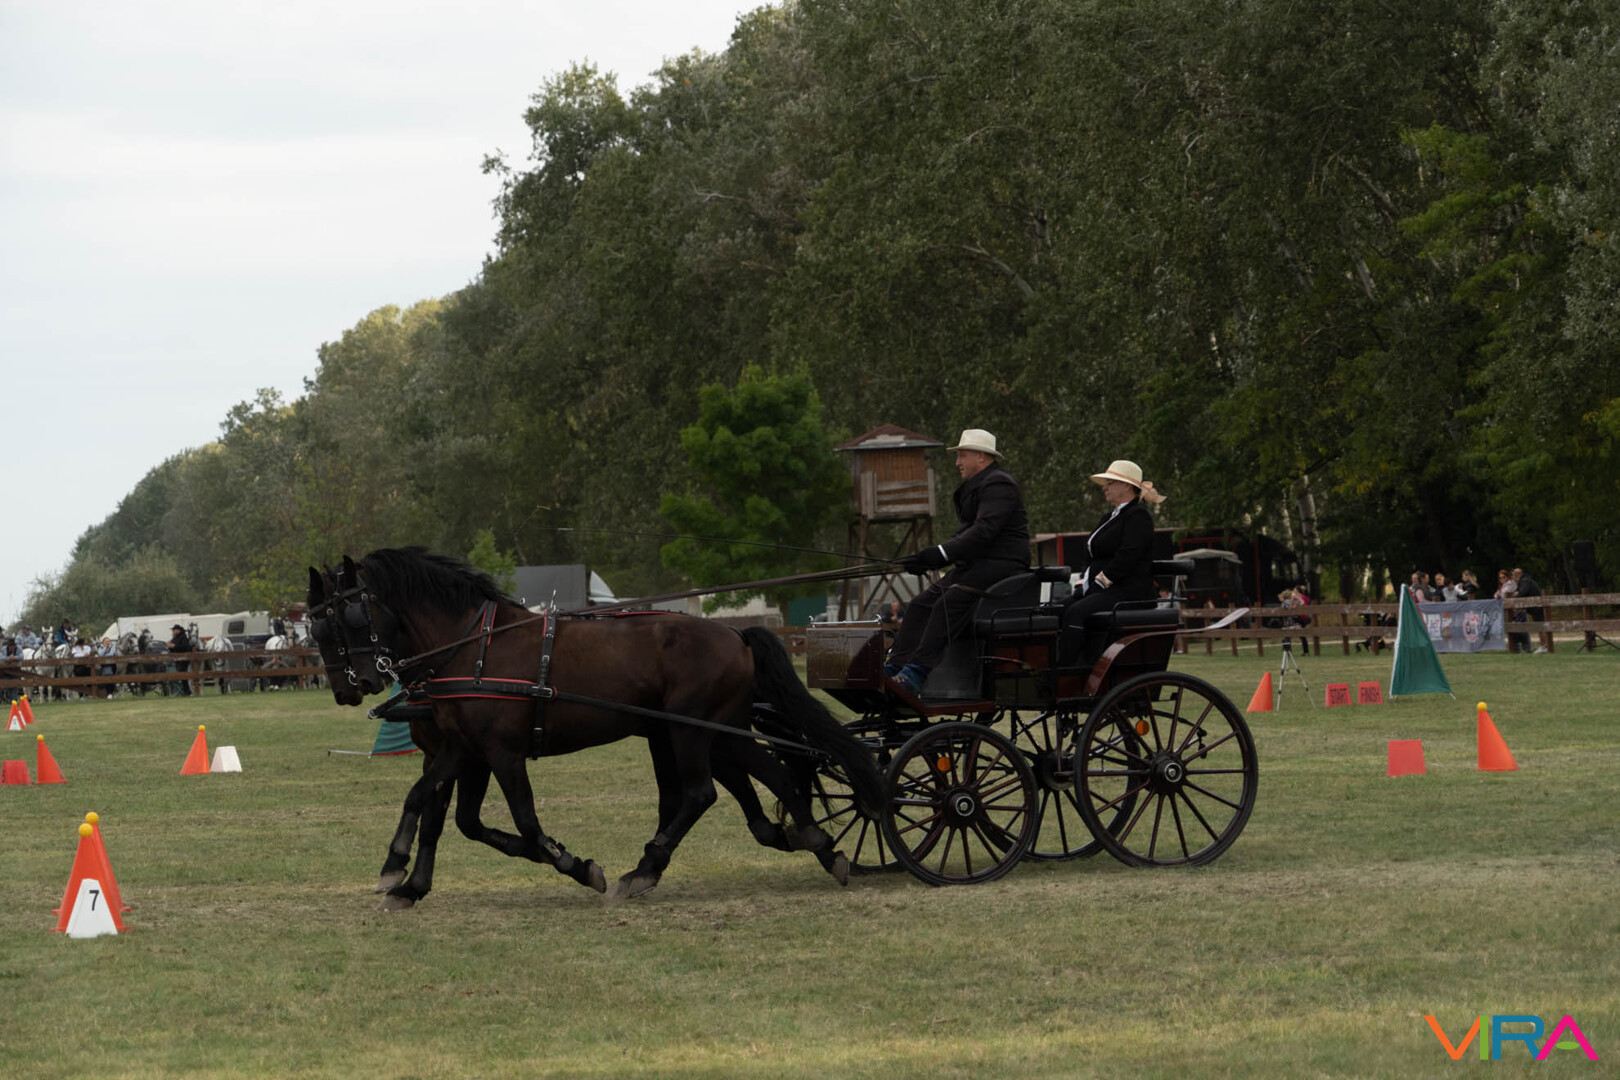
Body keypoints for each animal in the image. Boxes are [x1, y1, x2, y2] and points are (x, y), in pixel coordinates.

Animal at [307, 547, 886, 908]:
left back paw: (644, 870)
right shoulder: (462, 750)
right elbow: (432, 807)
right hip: (718, 730)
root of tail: (736, 635)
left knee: (700, 793)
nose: (351, 686)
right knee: (776, 776)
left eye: (347, 619)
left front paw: (576, 864)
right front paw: (404, 878)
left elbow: (522, 819)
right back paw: (820, 845)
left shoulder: (501, 752)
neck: (473, 648)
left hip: (691, 731)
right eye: (315, 627)